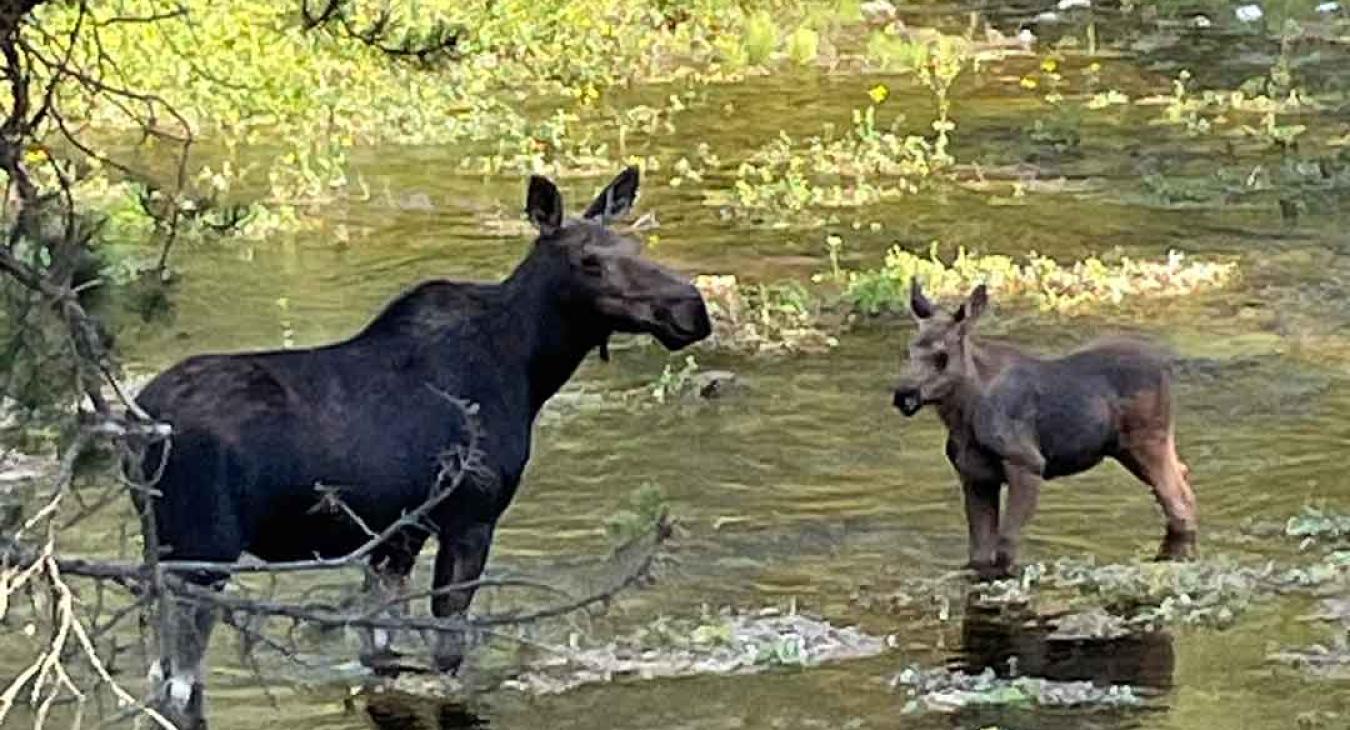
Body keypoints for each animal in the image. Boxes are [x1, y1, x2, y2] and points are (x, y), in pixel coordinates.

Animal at [131, 169, 712, 723]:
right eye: (589, 260)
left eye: (636, 246)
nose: (691, 309)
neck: (530, 367)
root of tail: (138, 423)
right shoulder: (470, 519)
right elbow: (448, 651)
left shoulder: (396, 539)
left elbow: (380, 648)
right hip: (203, 553)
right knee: (178, 686)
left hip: (166, 553)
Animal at [891, 279, 1198, 580]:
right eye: (909, 351)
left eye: (942, 356)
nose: (904, 395)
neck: (962, 415)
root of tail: (1166, 367)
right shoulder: (974, 476)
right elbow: (978, 551)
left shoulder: (1026, 462)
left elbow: (1006, 544)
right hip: (1131, 449)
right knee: (1182, 478)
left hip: (1147, 442)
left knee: (1179, 501)